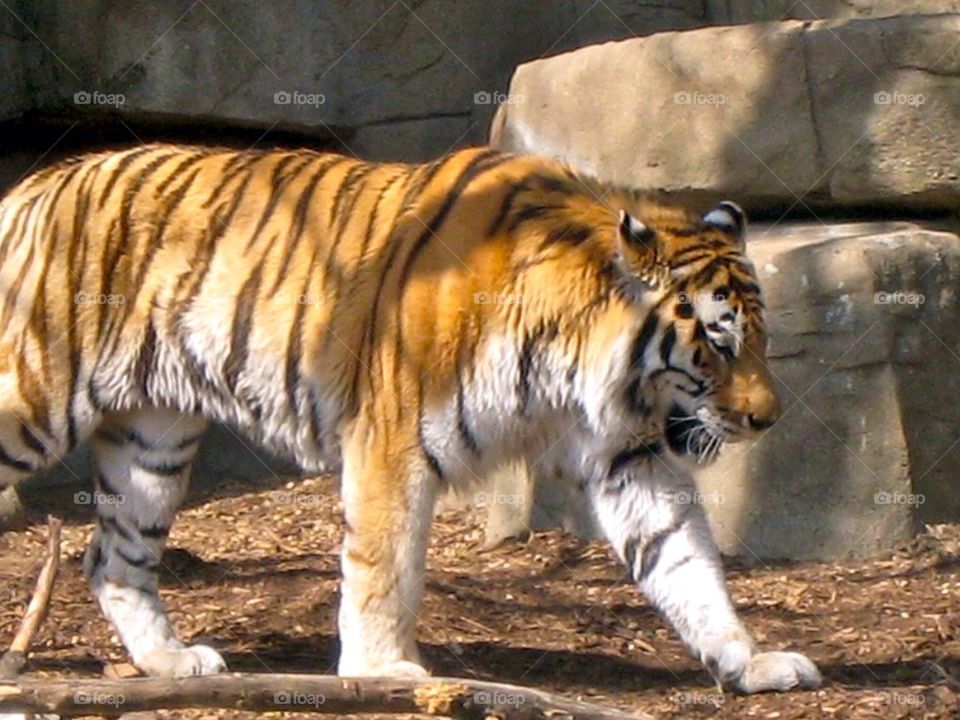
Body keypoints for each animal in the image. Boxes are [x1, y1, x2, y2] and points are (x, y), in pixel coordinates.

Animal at [0, 144, 821, 693]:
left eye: (760, 339)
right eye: (719, 342)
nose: (769, 419)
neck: (580, 364)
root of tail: (30, 186)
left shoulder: (628, 453)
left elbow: (686, 561)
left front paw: (749, 661)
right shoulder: (390, 438)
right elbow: (382, 565)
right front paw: (382, 669)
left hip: (154, 437)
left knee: (112, 560)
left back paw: (170, 662)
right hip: (33, 396)